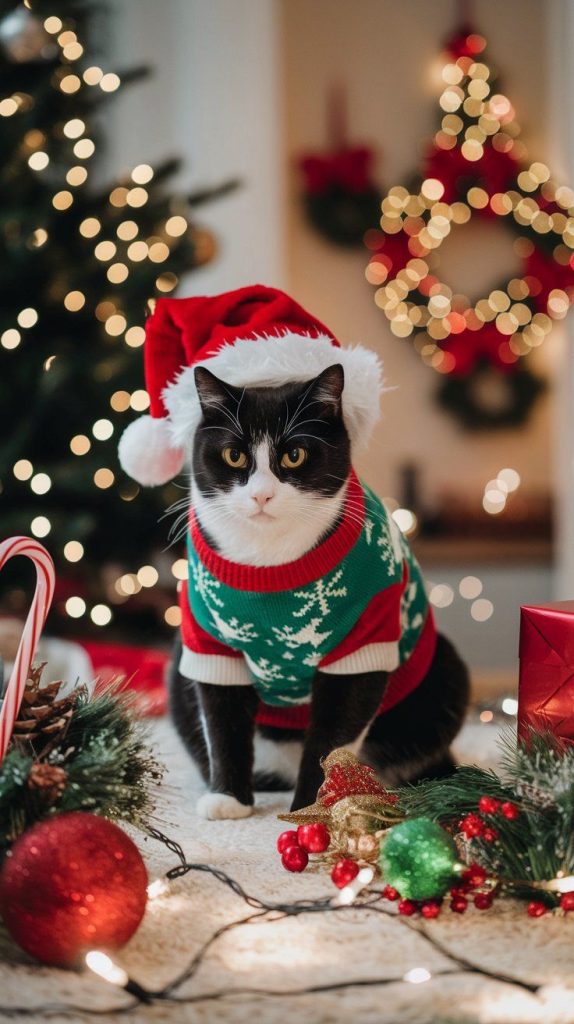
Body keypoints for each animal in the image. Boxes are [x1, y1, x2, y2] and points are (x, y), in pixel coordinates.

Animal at [167, 360, 468, 815]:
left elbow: (333, 736)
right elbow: (222, 721)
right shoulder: (208, 641)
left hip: (445, 674)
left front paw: (315, 806)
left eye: (294, 454)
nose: (261, 495)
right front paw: (228, 801)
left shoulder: (363, 642)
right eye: (234, 454)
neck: (269, 562)